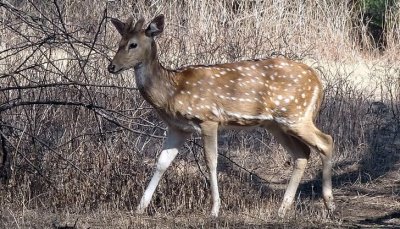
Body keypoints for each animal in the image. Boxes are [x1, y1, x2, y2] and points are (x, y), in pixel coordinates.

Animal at [106, 14, 334, 218]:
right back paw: (283, 209)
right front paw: (140, 207)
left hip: (296, 115)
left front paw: (215, 210)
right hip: (275, 124)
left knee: (326, 141)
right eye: (119, 43)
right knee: (302, 153)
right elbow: (162, 162)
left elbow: (211, 161)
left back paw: (329, 203)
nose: (111, 67)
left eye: (133, 44)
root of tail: (318, 82)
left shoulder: (208, 118)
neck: (172, 91)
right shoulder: (178, 127)